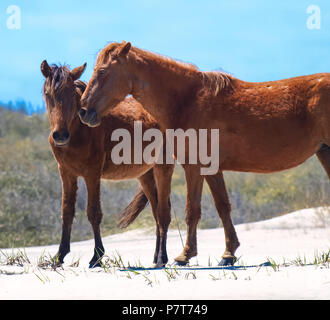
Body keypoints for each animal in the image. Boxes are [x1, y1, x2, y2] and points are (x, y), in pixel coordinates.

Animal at [40, 60, 235, 268]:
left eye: (71, 94)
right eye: (47, 94)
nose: (60, 135)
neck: (79, 131)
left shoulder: (92, 174)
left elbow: (93, 212)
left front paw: (97, 257)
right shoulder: (66, 173)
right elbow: (67, 211)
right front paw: (59, 255)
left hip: (163, 167)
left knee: (163, 213)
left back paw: (162, 258)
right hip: (145, 175)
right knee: (157, 213)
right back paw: (157, 257)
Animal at [79, 40, 330, 264]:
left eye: (102, 71)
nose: (83, 111)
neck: (187, 101)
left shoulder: (194, 167)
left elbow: (192, 210)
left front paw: (185, 255)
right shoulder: (211, 169)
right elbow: (223, 207)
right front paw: (228, 253)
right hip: (324, 153)